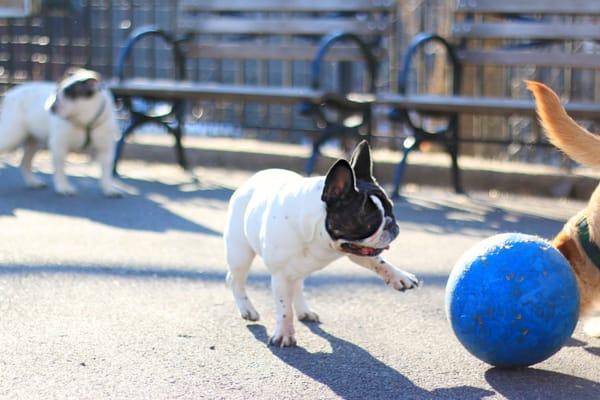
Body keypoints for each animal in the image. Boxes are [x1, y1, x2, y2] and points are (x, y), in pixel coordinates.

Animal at [0, 68, 123, 196]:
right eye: (57, 92)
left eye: (68, 94)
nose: (51, 107)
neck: (85, 121)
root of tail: (10, 93)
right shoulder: (59, 146)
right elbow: (60, 168)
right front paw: (63, 187)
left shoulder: (106, 149)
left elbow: (106, 170)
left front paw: (109, 188)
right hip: (11, 135)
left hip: (34, 141)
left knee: (25, 162)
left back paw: (33, 182)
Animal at [223, 141, 420, 346]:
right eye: (370, 222)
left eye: (391, 209)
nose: (391, 224)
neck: (319, 235)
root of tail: (251, 180)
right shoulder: (280, 275)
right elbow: (284, 309)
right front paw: (284, 333)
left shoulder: (355, 251)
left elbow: (379, 262)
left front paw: (399, 276)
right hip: (240, 253)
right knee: (235, 279)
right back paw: (247, 309)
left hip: (296, 268)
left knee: (297, 286)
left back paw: (304, 311)